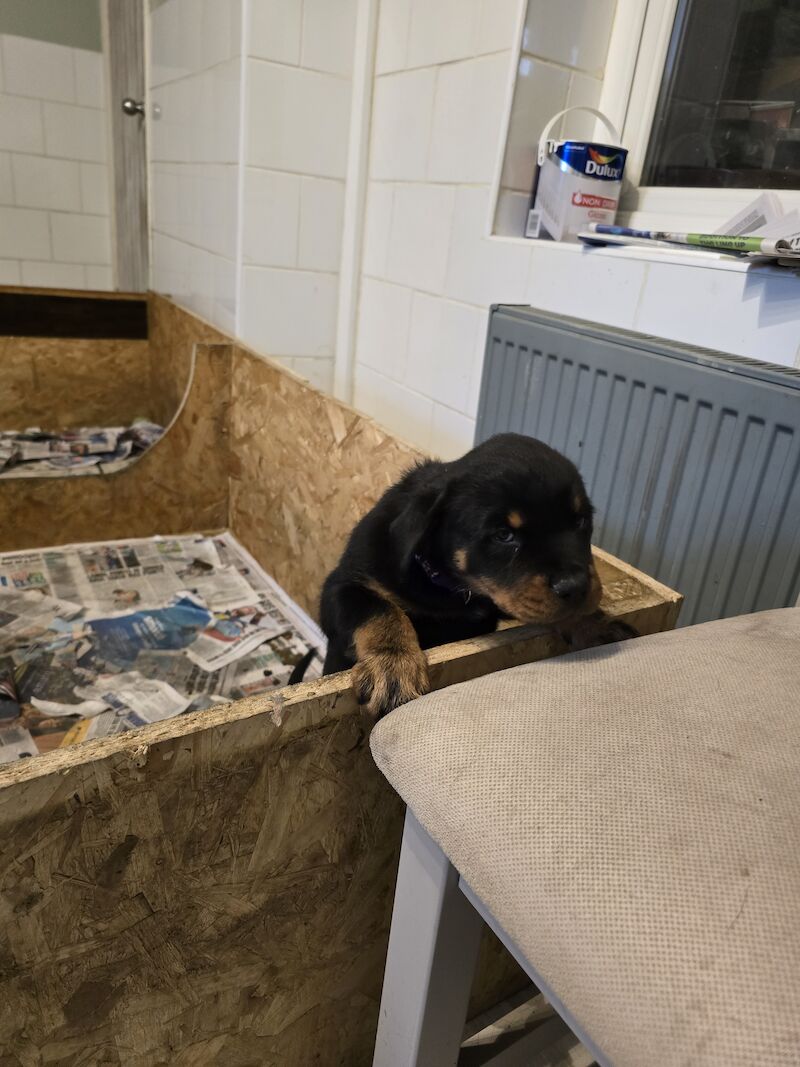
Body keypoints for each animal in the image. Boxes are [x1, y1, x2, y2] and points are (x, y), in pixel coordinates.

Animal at [322, 431, 631, 717]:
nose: (576, 587)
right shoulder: (342, 585)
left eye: (580, 521)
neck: (450, 588)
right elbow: (380, 608)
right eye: (504, 535)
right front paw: (393, 664)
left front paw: (593, 621)